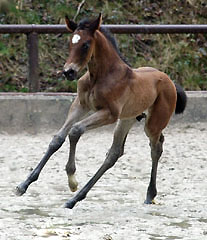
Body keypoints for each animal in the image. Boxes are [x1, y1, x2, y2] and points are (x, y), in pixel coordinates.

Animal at [16, 14, 187, 208]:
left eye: (85, 44)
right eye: (70, 42)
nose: (68, 72)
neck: (99, 76)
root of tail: (170, 81)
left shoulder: (109, 114)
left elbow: (75, 130)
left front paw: (72, 179)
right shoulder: (81, 105)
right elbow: (58, 139)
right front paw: (23, 185)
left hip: (152, 124)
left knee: (155, 148)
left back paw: (149, 194)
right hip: (126, 119)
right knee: (114, 153)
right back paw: (75, 199)